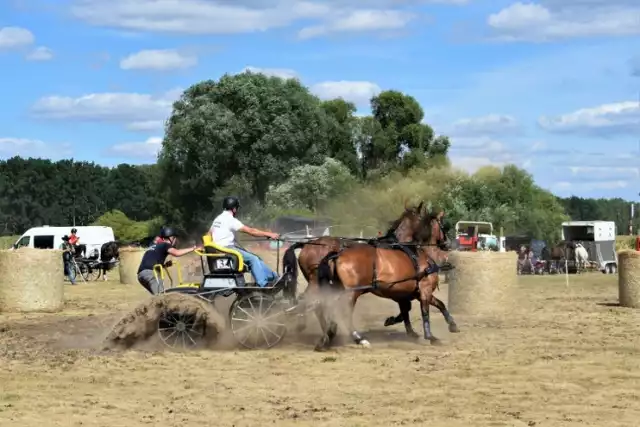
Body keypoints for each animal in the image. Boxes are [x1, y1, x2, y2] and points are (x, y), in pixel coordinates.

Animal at [282, 202, 428, 340]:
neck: (394, 246)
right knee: (311, 301)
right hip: (316, 282)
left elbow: (406, 307)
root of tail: (307, 244)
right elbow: (406, 307)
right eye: (423, 219)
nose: (424, 240)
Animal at [314, 211, 456, 352]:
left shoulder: (410, 294)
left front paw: (452, 325)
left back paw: (326, 338)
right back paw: (359, 339)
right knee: (343, 314)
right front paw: (430, 336)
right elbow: (425, 312)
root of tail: (337, 254)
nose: (448, 243)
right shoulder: (424, 291)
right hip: (351, 293)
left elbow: (436, 305)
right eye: (443, 225)